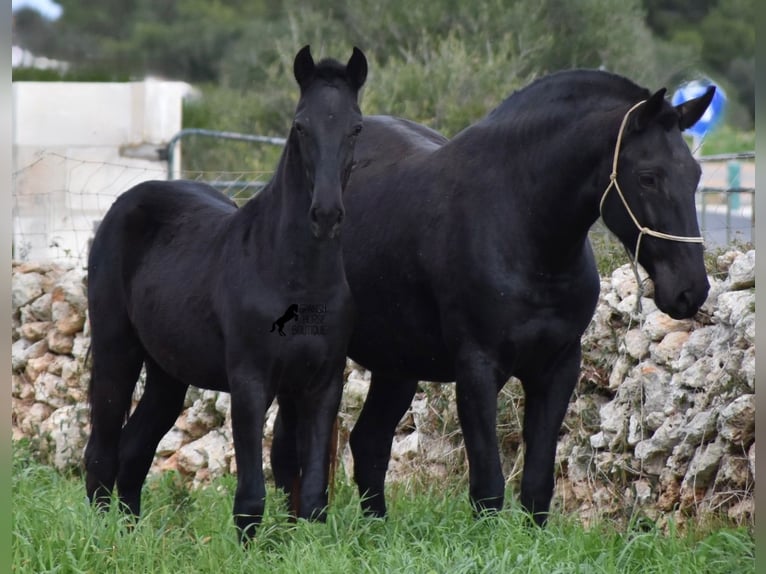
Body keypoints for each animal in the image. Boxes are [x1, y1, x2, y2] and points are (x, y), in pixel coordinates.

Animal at [85, 46, 368, 544]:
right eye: (300, 124)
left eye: (355, 127)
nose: (326, 215)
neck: (293, 273)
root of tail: (126, 202)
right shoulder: (250, 381)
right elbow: (252, 492)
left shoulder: (322, 383)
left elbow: (312, 492)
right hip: (116, 349)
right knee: (101, 453)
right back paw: (106, 544)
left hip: (168, 371)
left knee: (134, 449)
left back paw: (133, 538)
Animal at [340, 67, 716, 528]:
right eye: (648, 176)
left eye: (695, 174)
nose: (690, 289)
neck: (522, 229)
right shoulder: (477, 368)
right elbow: (488, 488)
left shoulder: (557, 368)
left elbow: (537, 487)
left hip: (397, 364)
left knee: (369, 443)